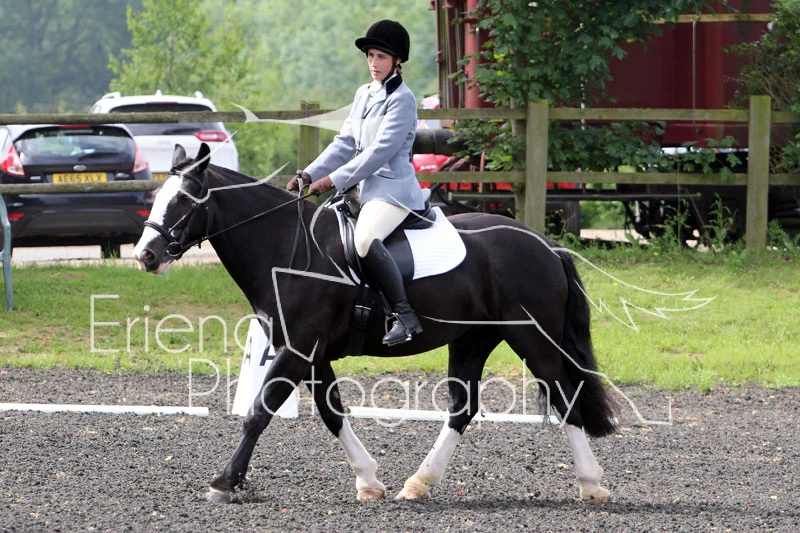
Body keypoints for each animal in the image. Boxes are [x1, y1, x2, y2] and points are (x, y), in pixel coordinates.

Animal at [132, 144, 618, 504]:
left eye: (184, 200)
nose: (145, 256)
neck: (289, 248)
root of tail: (544, 243)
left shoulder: (296, 351)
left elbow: (258, 412)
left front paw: (224, 482)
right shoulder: (312, 354)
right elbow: (332, 413)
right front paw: (368, 480)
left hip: (532, 338)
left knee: (566, 397)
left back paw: (591, 484)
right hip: (471, 340)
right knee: (462, 408)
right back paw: (419, 483)